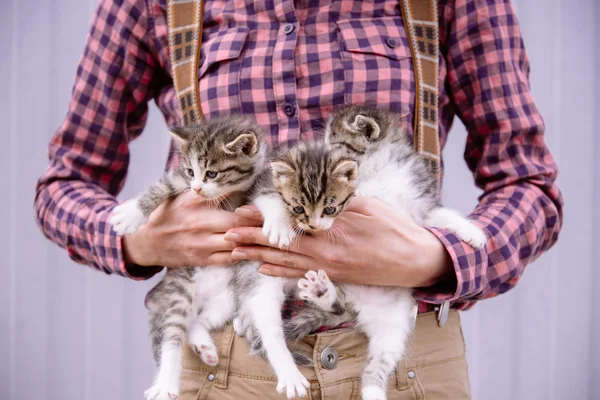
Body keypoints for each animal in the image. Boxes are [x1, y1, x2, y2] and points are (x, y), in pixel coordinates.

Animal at [110, 115, 270, 400]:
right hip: (181, 287)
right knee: (173, 335)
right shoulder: (178, 182)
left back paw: (204, 347)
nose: (196, 189)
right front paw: (131, 214)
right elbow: (160, 187)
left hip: (224, 299)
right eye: (190, 172)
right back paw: (166, 382)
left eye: (212, 173)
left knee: (195, 322)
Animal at [256, 106, 488, 400]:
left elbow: (440, 214)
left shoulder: (417, 204)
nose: (319, 148)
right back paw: (321, 291)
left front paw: (472, 233)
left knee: (376, 363)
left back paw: (372, 389)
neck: (379, 168)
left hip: (394, 327)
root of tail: (357, 308)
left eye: (334, 141)